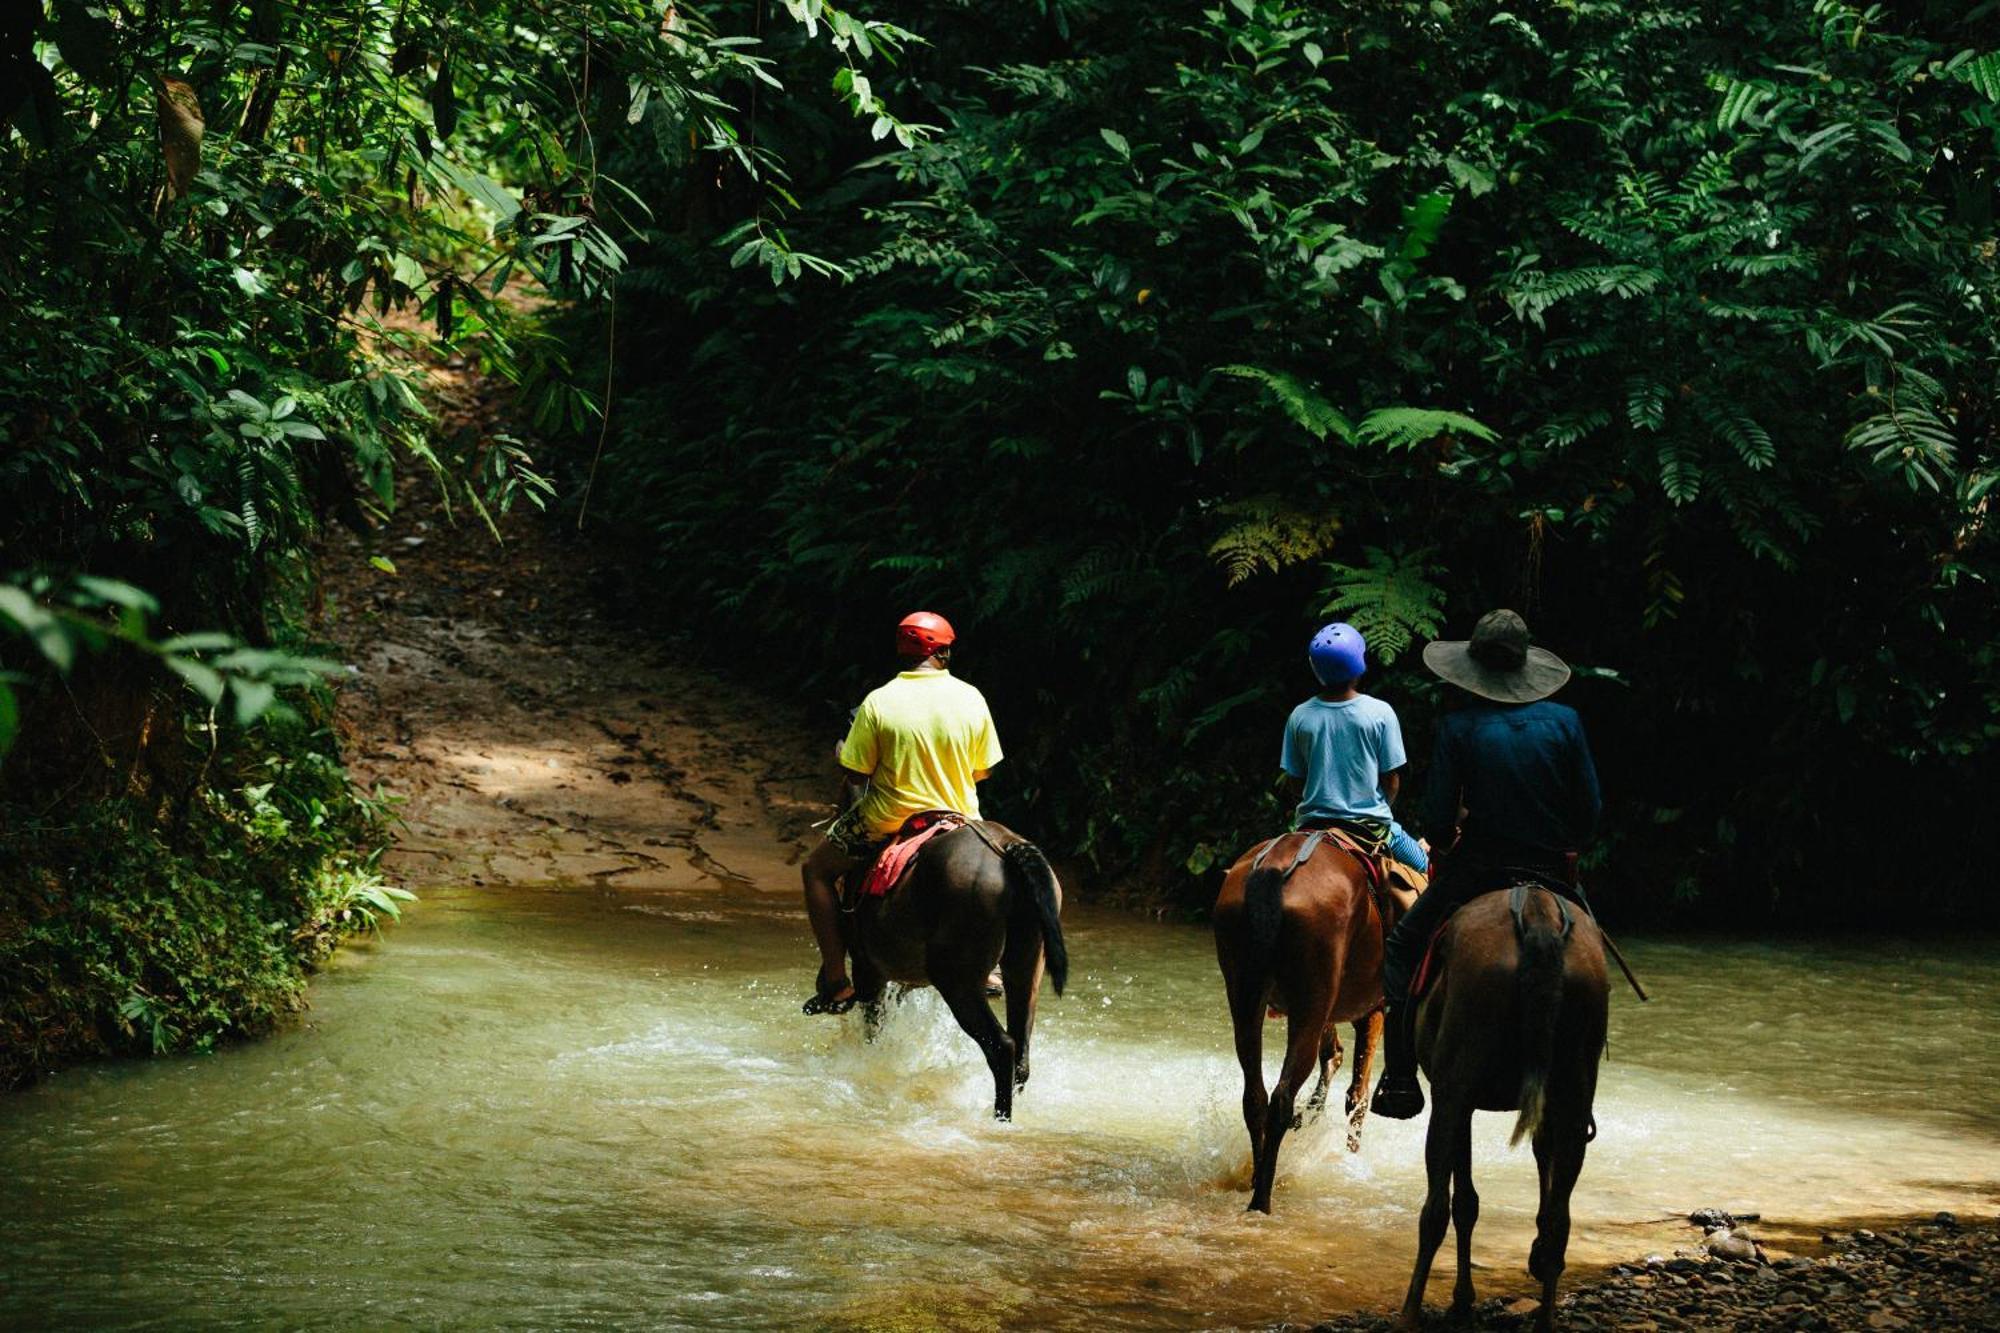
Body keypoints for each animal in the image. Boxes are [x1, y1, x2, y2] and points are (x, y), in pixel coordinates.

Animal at [840, 820, 1072, 1112]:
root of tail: (1007, 845)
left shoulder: (868, 972)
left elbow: (874, 1027)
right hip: (1026, 968)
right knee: (1021, 1050)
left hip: (957, 981)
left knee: (1002, 1047)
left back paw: (1000, 1115)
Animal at [1208, 824, 1400, 1208]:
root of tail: (1274, 868)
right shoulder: (1372, 1008)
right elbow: (1358, 1094)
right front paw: (1350, 1156)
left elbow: (1335, 1057)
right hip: (1311, 1001)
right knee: (1282, 1097)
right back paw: (1262, 1199)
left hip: (1247, 997)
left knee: (1256, 1096)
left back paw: (1257, 1178)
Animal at [1400, 880, 1616, 1328]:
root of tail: (1536, 913)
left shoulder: (1458, 1099)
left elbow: (1462, 1202)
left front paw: (1462, 1301)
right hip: (1573, 1088)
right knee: (1559, 1218)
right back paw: (1546, 1318)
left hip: (1452, 1088)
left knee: (1434, 1210)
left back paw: (1408, 1314)